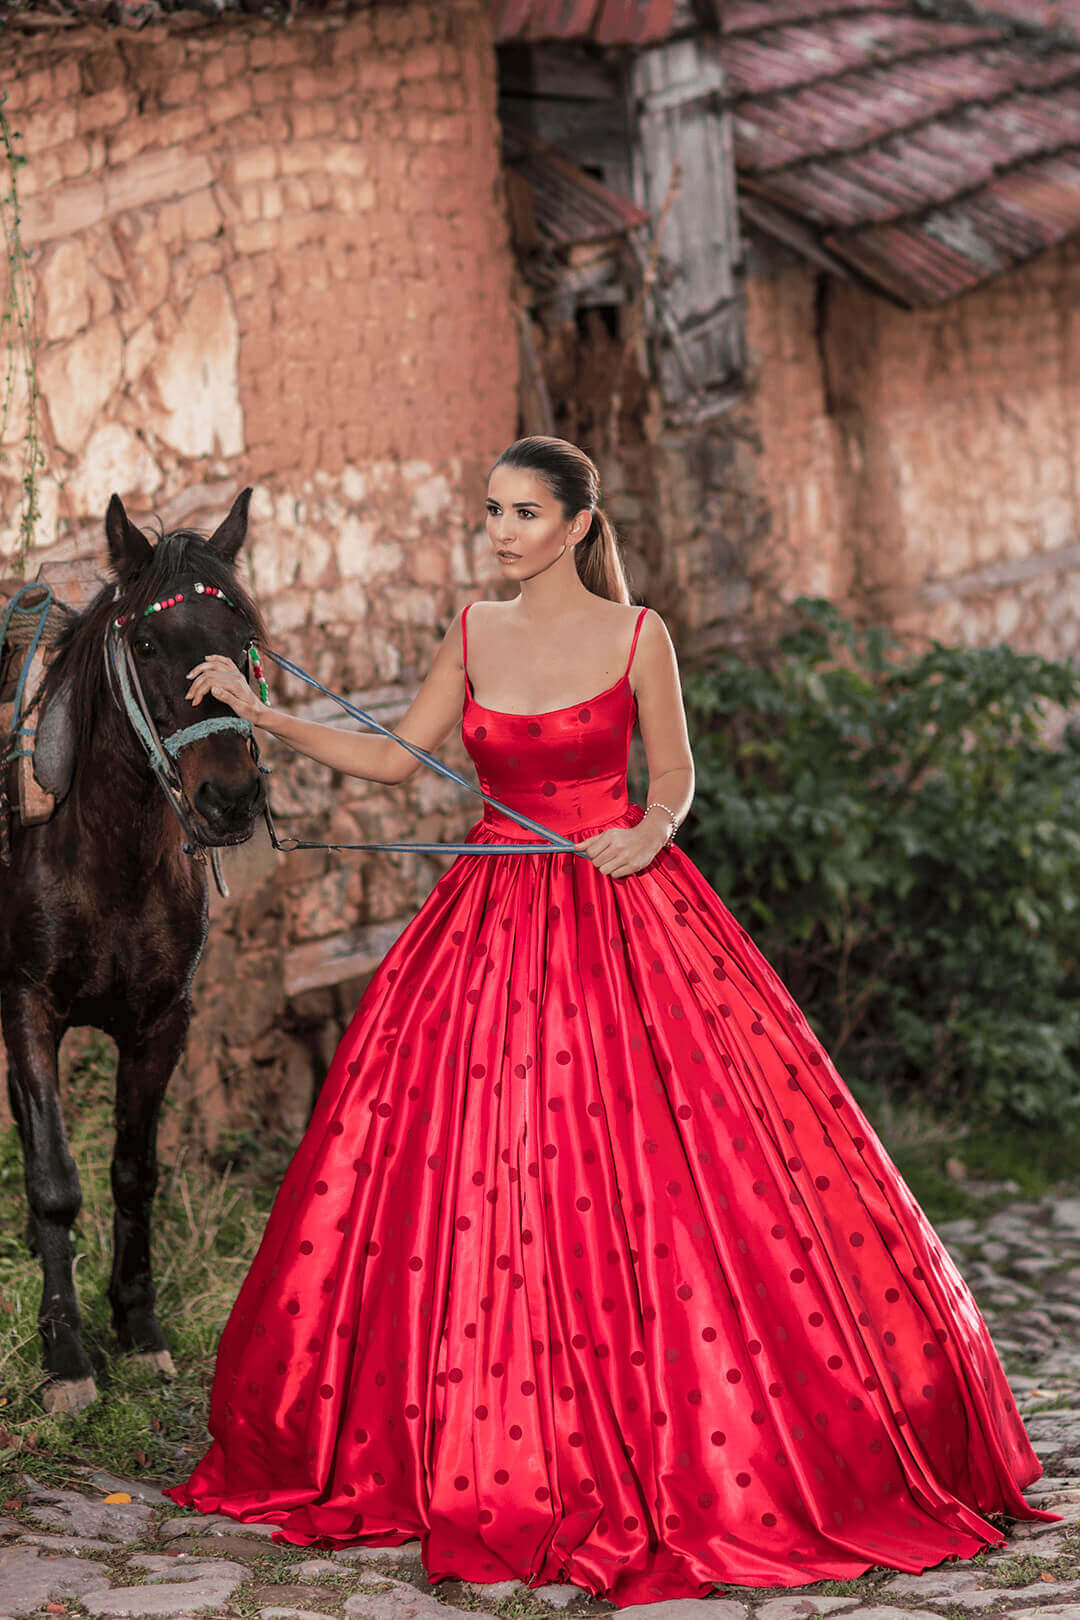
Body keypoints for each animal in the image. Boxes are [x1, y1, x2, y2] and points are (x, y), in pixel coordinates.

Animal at [0, 486, 268, 1412]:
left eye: (245, 635)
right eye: (147, 644)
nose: (230, 799)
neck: (107, 854)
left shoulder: (161, 1024)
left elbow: (132, 1172)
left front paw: (138, 1328)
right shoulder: (27, 1009)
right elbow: (53, 1181)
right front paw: (66, 1356)